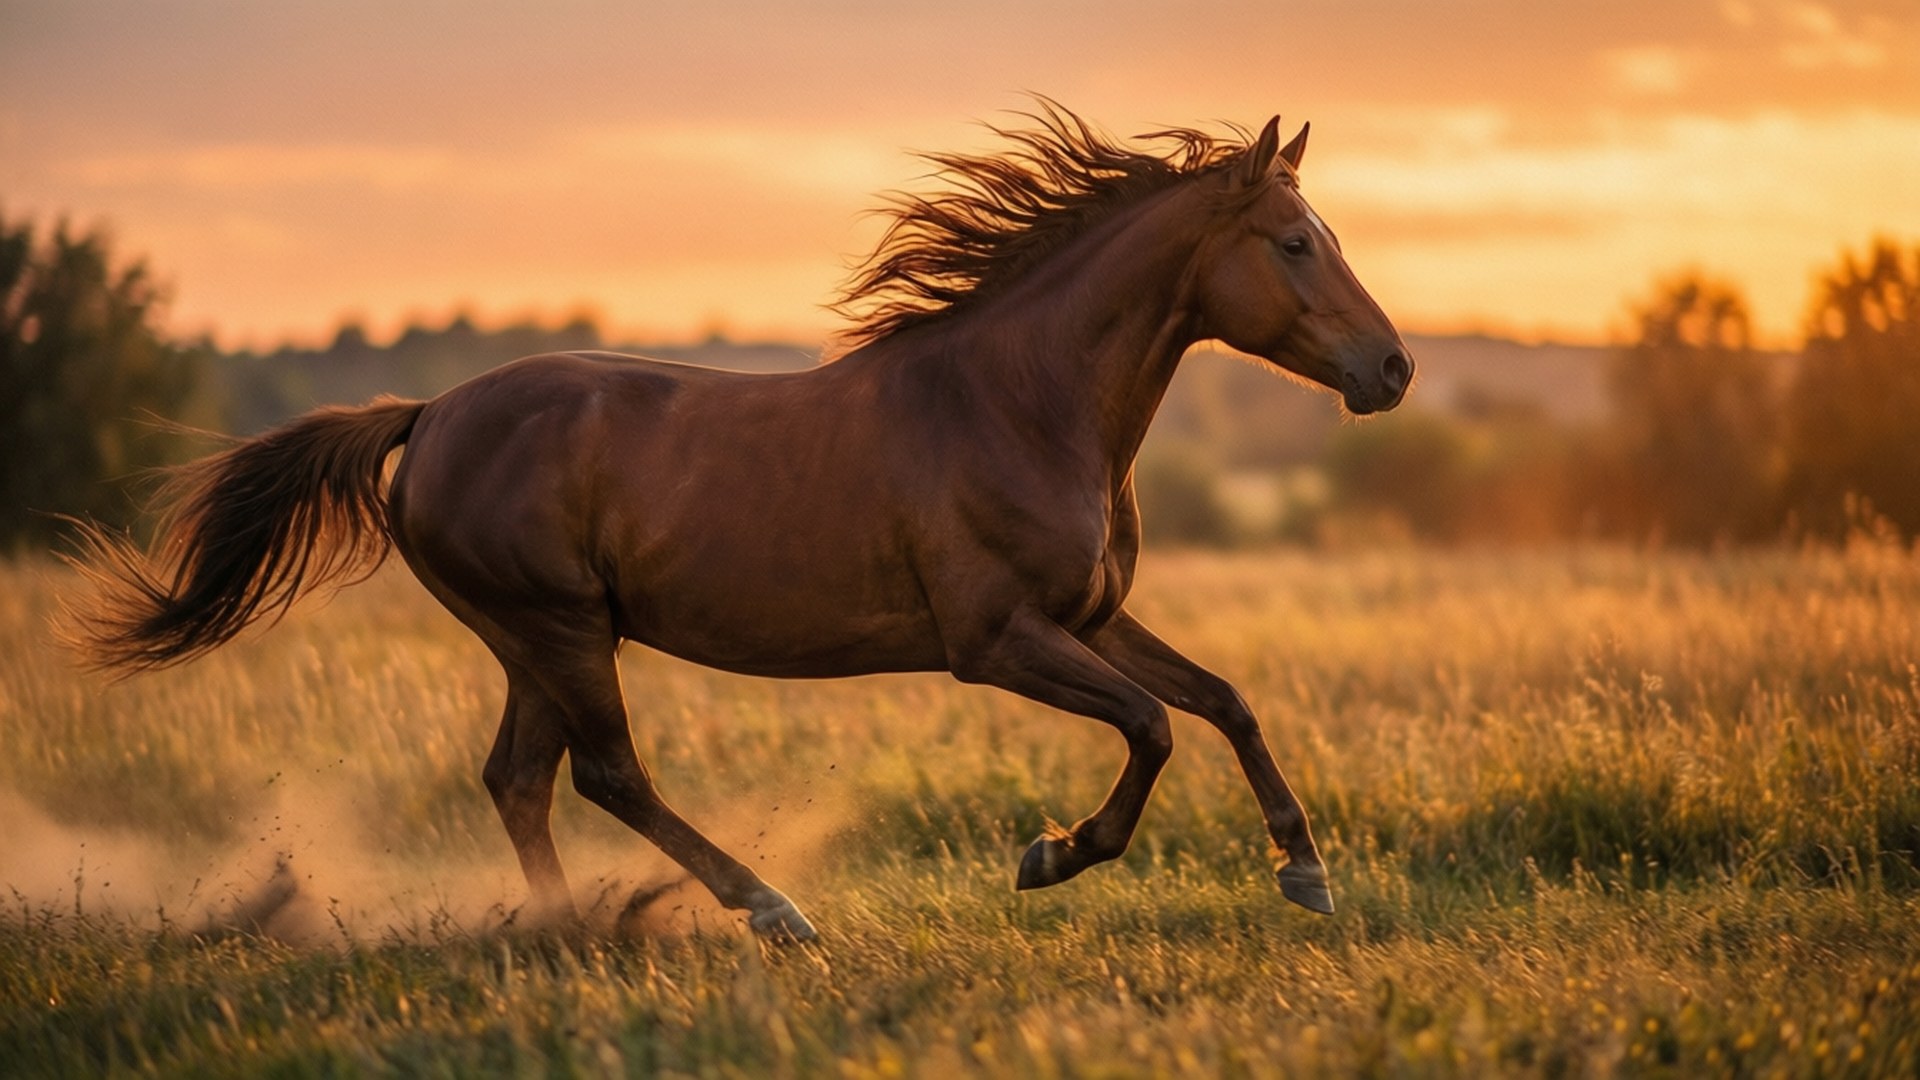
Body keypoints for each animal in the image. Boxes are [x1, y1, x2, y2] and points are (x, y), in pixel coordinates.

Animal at [64, 103, 1411, 940]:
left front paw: (1305, 870)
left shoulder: (1089, 615)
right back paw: (769, 911)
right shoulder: (994, 640)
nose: (1392, 370)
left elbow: (1222, 700)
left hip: (538, 640)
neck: (1018, 402)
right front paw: (1050, 856)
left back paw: (569, 932)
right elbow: (1151, 728)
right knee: (606, 774)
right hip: (560, 630)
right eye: (1296, 243)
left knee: (519, 780)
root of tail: (432, 411)